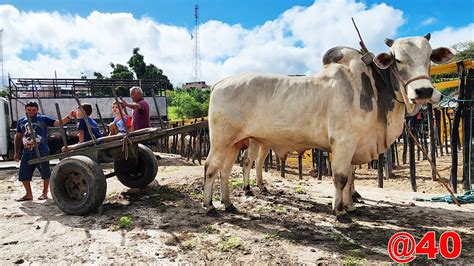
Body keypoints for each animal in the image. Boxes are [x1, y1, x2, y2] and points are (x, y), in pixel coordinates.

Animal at [206, 35, 454, 222]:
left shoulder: (354, 146)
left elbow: (350, 177)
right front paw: (340, 211)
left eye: (429, 58)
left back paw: (228, 204)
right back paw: (210, 206)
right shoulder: (344, 141)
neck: (375, 87)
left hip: (235, 143)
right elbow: (341, 178)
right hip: (222, 141)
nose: (424, 91)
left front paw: (350, 205)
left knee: (227, 170)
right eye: (398, 60)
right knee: (212, 167)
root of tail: (220, 83)